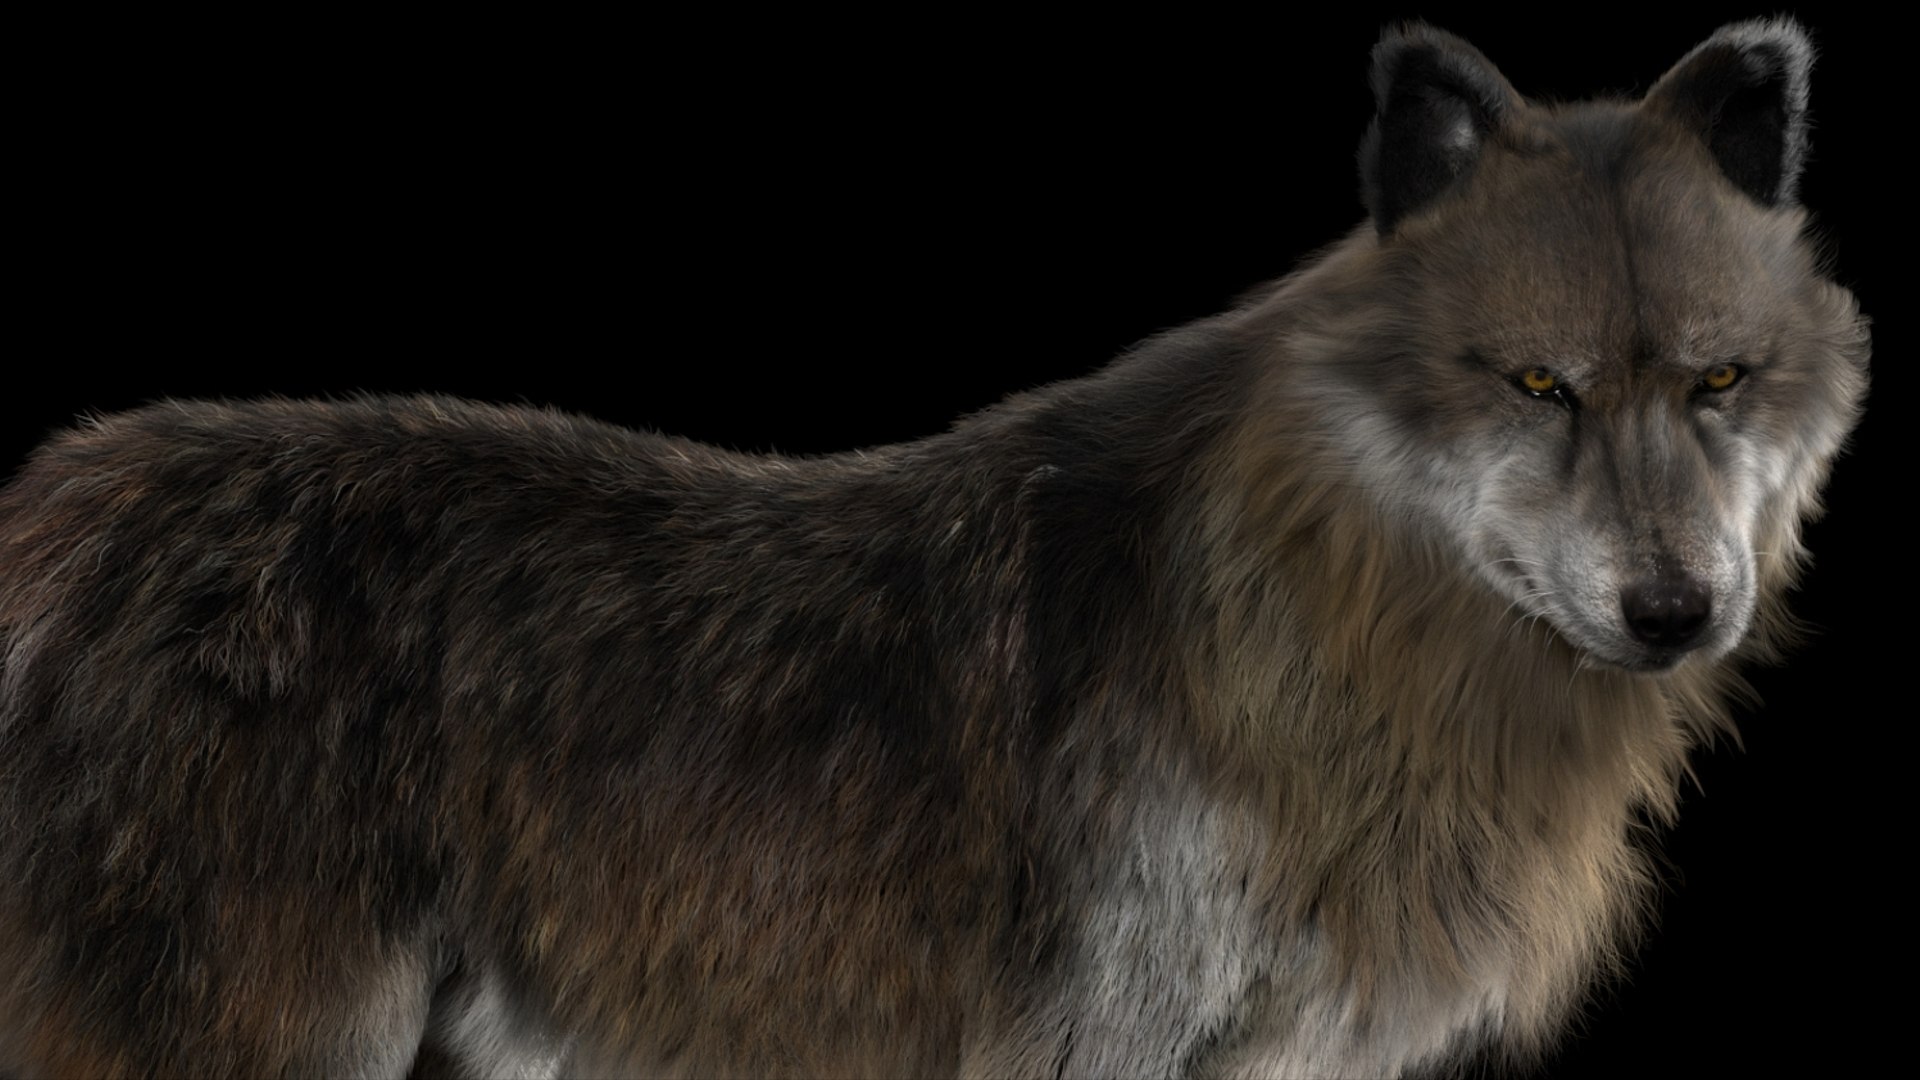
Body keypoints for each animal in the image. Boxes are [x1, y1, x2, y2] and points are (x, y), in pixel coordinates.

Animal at [0, 18, 1866, 1080]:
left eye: (1719, 380)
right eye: (1540, 383)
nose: (1675, 607)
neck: (1316, 627)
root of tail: (57, 504)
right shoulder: (1089, 1052)